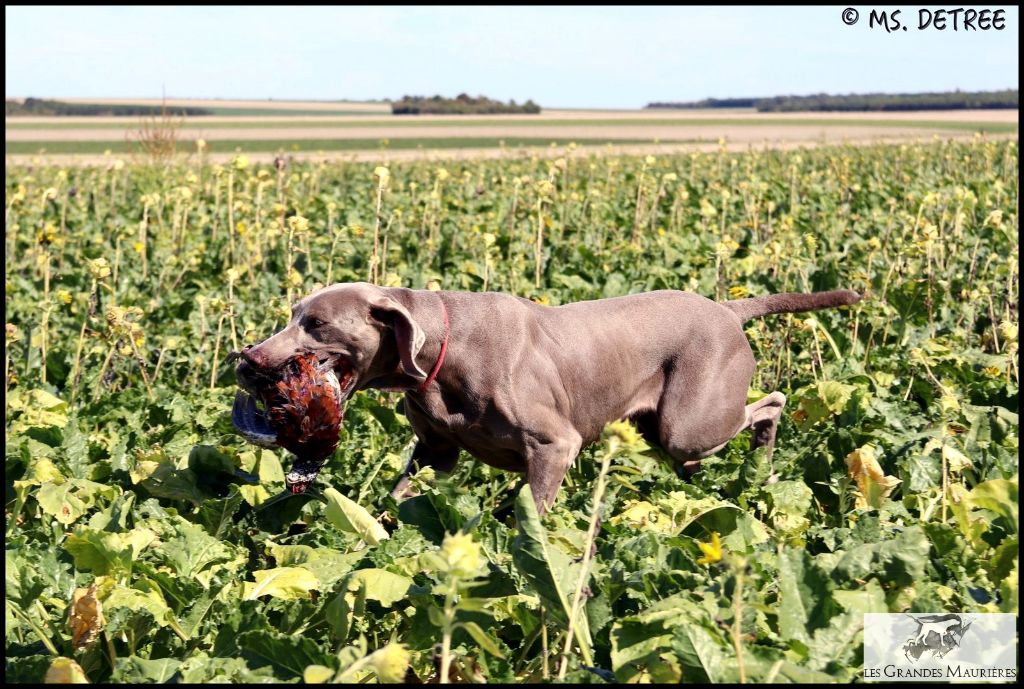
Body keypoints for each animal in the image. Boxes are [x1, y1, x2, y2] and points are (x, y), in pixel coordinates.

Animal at [235, 278, 860, 509]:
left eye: (316, 324)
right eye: (292, 314)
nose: (248, 360)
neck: (441, 353)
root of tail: (728, 309)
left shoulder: (553, 446)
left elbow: (530, 513)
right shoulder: (436, 449)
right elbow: (401, 493)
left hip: (690, 422)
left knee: (772, 402)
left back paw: (762, 466)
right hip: (666, 430)